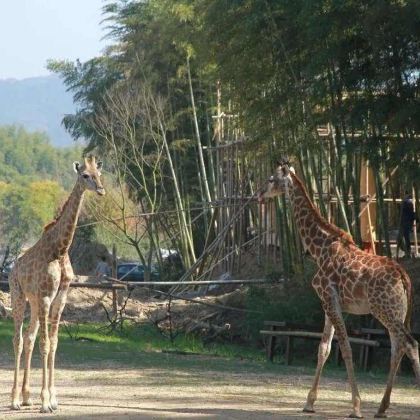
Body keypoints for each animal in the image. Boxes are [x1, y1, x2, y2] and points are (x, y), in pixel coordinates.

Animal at [9, 156, 105, 412]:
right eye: (85, 175)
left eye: (99, 174)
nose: (101, 190)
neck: (59, 251)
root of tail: (13, 266)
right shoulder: (45, 296)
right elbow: (45, 344)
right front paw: (45, 402)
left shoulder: (59, 298)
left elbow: (53, 343)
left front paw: (52, 399)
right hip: (18, 295)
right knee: (18, 340)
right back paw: (14, 400)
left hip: (33, 303)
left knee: (29, 337)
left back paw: (26, 397)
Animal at [260, 162, 420, 418]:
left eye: (271, 179)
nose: (259, 194)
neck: (318, 248)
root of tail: (404, 278)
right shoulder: (330, 303)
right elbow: (324, 348)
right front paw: (309, 403)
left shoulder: (328, 297)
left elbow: (345, 348)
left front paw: (355, 406)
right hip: (397, 313)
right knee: (398, 348)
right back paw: (381, 408)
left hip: (384, 310)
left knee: (410, 344)